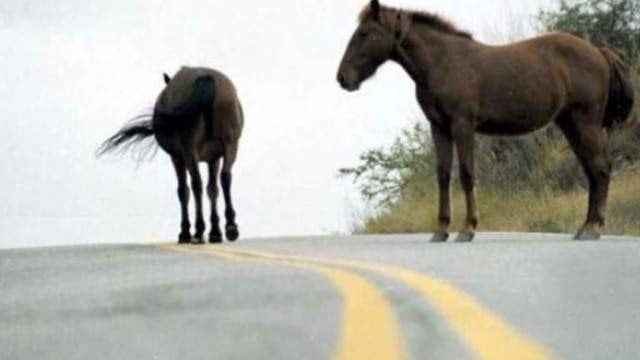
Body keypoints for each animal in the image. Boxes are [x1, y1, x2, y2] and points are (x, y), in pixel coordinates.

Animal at [99, 66, 244, 245]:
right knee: (225, 177)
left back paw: (198, 230)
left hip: (189, 150)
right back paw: (230, 226)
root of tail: (205, 78)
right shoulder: (214, 158)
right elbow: (212, 189)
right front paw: (215, 232)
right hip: (230, 144)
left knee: (196, 184)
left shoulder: (177, 158)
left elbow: (183, 191)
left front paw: (185, 232)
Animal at [338, 0, 632, 242]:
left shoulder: (463, 126)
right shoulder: (439, 128)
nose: (343, 78)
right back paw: (584, 227)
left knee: (601, 169)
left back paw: (593, 228)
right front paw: (441, 230)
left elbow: (467, 174)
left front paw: (467, 229)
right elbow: (443, 175)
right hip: (570, 124)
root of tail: (598, 51)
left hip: (586, 123)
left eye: (365, 33)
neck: (443, 62)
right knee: (592, 171)